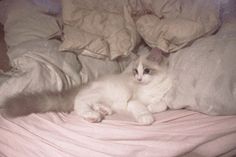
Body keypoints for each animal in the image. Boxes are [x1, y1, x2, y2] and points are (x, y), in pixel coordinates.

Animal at [1, 49, 171, 125]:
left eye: (147, 70)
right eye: (136, 71)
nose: (139, 78)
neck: (151, 86)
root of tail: (84, 85)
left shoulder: (162, 97)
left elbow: (163, 104)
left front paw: (152, 107)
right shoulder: (133, 101)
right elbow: (142, 107)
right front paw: (146, 115)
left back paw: (103, 110)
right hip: (100, 93)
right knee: (80, 104)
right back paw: (93, 115)